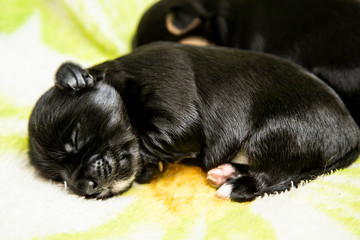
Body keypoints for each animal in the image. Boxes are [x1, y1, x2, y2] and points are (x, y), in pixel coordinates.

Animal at [28, 42, 360, 201]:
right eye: (58, 178)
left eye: (75, 138)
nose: (84, 187)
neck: (123, 81)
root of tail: (352, 133)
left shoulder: (175, 112)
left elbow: (152, 140)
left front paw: (148, 167)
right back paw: (226, 172)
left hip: (277, 133)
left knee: (272, 175)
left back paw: (235, 186)